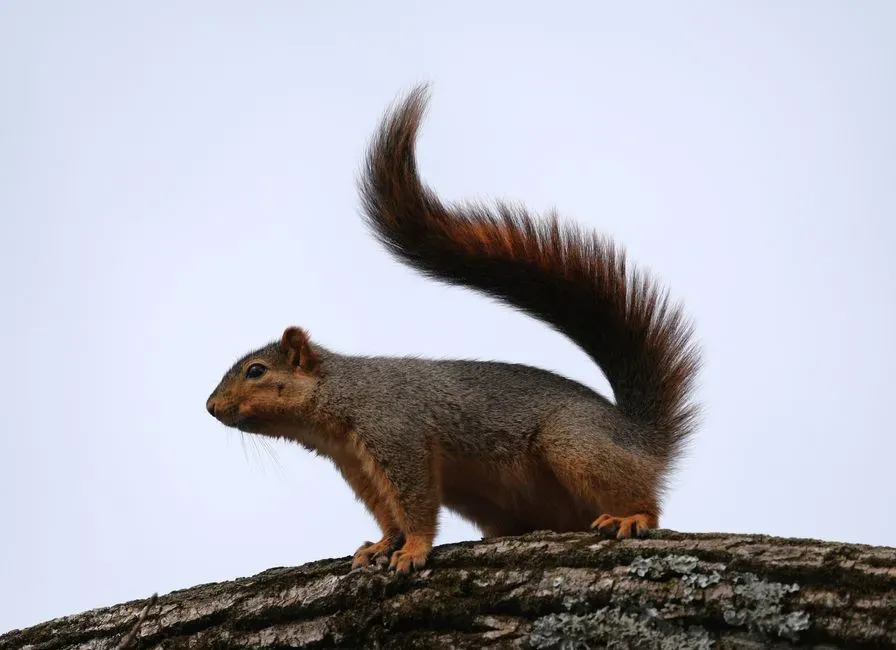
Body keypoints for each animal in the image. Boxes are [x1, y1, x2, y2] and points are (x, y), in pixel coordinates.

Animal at [206, 85, 701, 574]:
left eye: (256, 371)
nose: (210, 407)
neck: (345, 393)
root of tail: (641, 440)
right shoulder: (358, 467)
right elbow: (388, 512)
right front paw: (382, 543)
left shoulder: (397, 432)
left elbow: (416, 502)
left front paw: (412, 549)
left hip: (576, 443)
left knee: (644, 500)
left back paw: (633, 516)